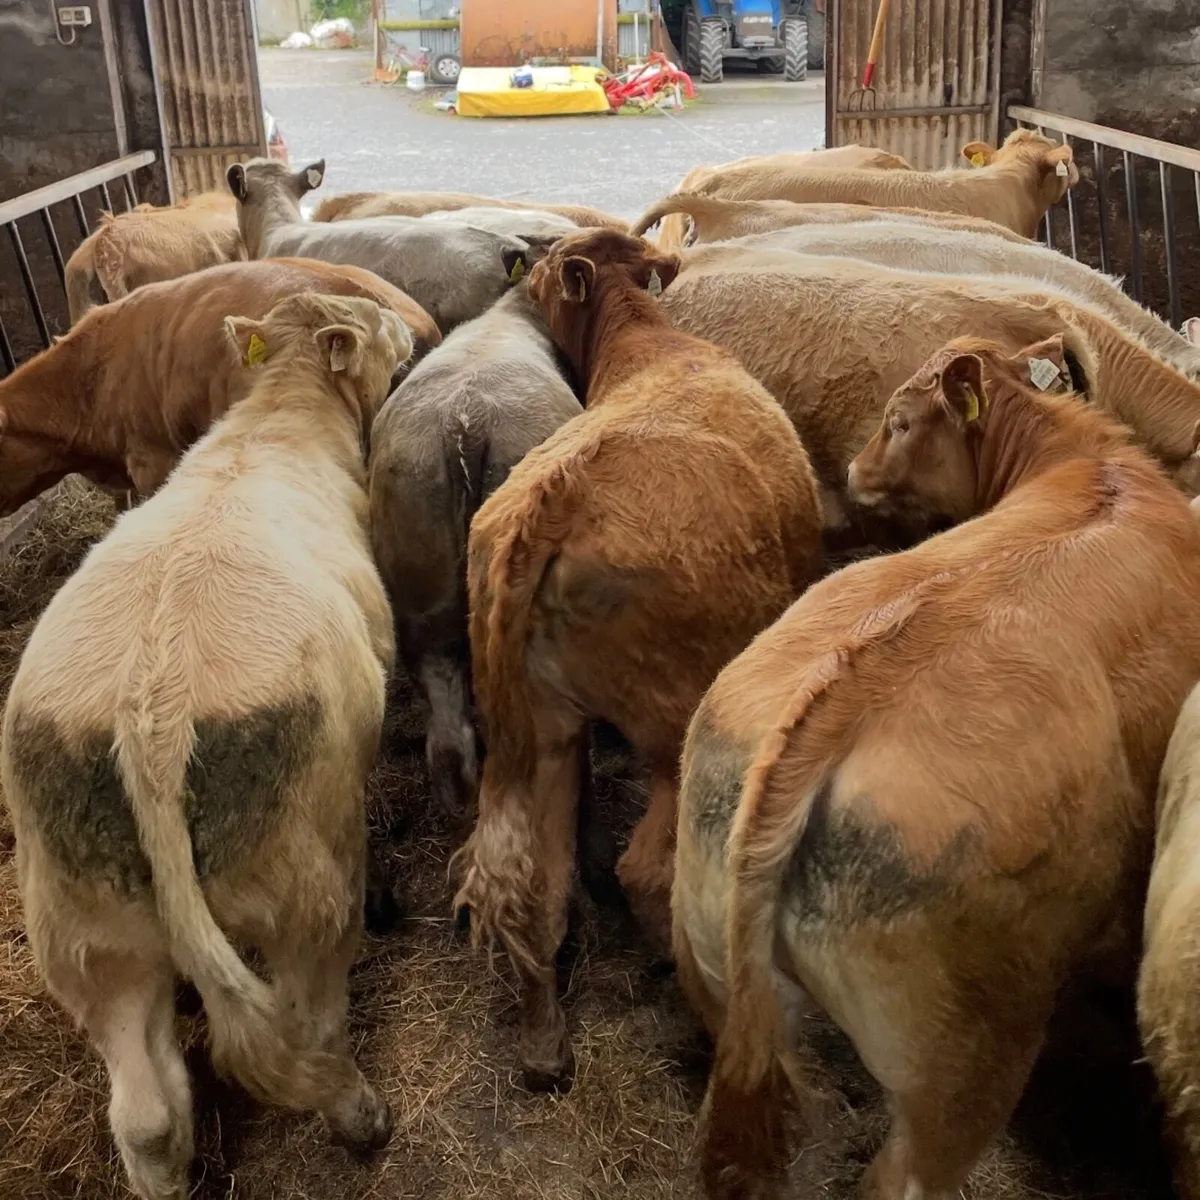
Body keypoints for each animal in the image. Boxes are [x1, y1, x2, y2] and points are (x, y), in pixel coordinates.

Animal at [0, 291, 411, 1200]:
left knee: (147, 1115)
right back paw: (362, 1117)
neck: (278, 414)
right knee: (307, 1024)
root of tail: (148, 722)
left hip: (85, 933)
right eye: (370, 322)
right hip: (304, 891)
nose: (410, 330)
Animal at [452, 229, 823, 1091]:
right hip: (676, 731)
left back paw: (545, 1047)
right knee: (651, 873)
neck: (654, 348)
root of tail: (551, 498)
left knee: (539, 881)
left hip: (543, 734)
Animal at [673, 336, 1200, 1199]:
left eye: (899, 420)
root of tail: (835, 705)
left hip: (719, 976)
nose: (852, 470)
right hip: (967, 1063)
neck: (1092, 463)